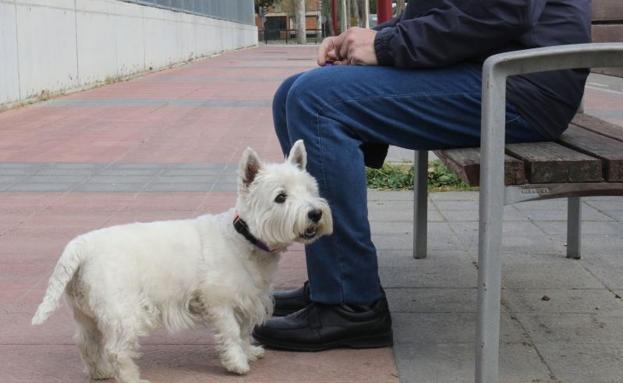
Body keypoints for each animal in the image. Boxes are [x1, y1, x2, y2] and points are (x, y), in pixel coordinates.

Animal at [30, 141, 332, 383]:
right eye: (280, 197)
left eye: (310, 190)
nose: (315, 213)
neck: (243, 237)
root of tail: (80, 246)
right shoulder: (219, 301)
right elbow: (232, 332)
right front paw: (237, 364)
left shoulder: (248, 299)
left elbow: (245, 331)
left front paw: (249, 352)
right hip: (122, 311)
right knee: (116, 350)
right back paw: (132, 379)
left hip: (87, 312)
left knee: (87, 343)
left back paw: (100, 372)